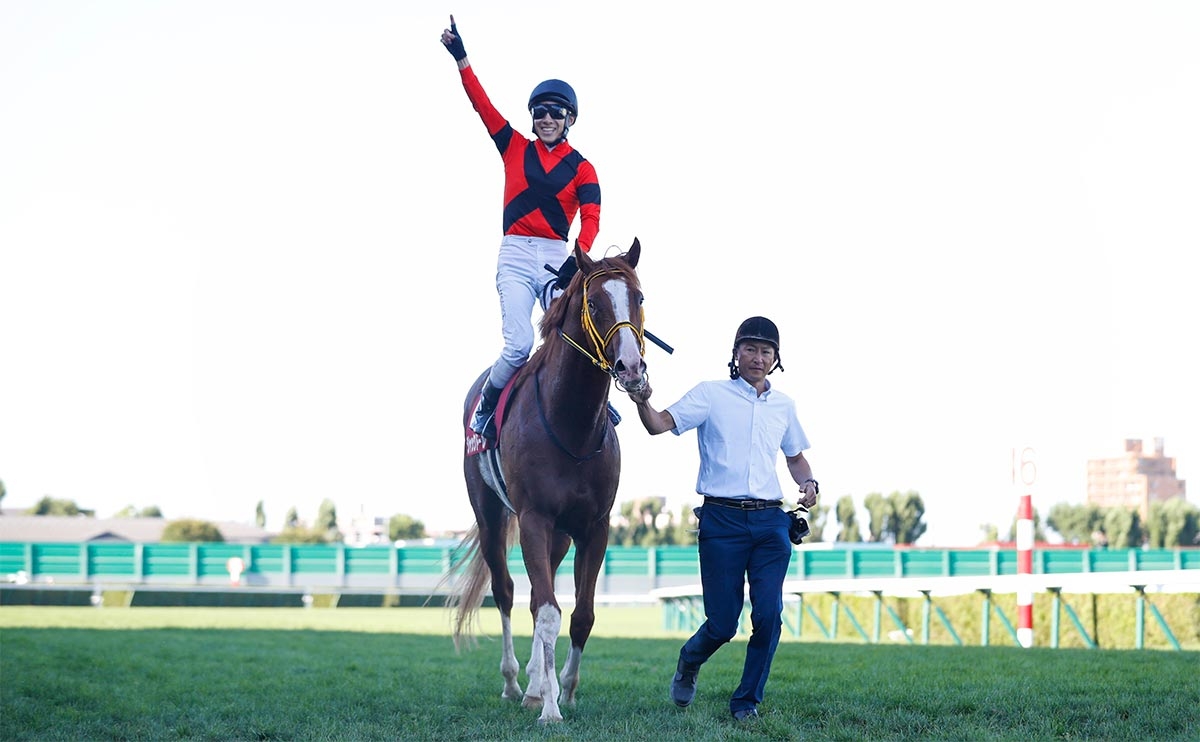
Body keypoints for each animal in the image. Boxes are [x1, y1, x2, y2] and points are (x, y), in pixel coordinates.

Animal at [448, 235, 648, 715]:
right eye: (593, 302)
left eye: (638, 297)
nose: (631, 368)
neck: (572, 424)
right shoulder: (534, 518)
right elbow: (546, 610)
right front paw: (551, 708)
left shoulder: (595, 526)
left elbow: (580, 614)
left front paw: (566, 689)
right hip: (490, 515)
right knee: (506, 591)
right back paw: (514, 683)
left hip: (557, 533)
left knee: (542, 594)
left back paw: (539, 683)